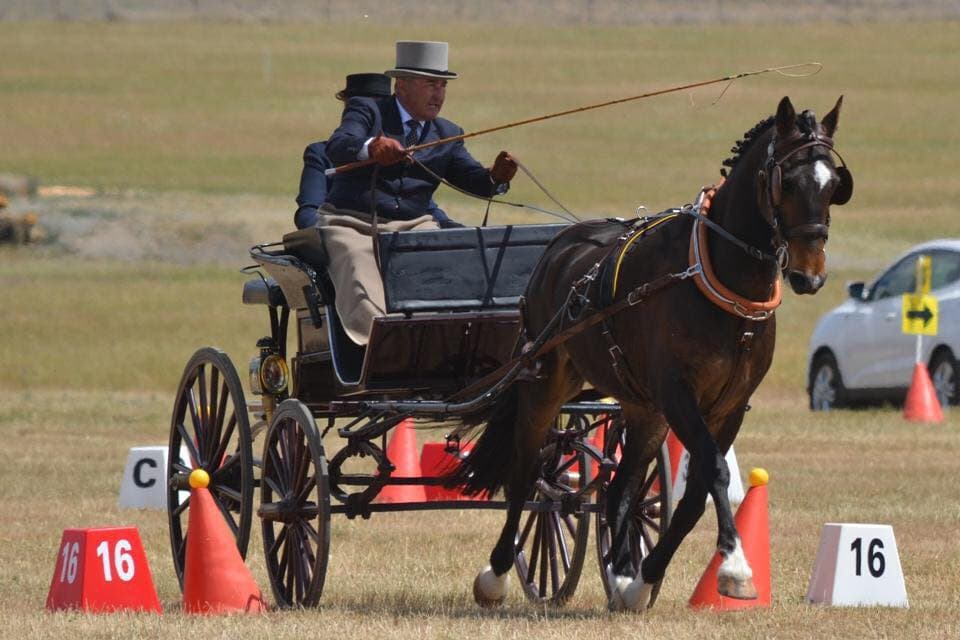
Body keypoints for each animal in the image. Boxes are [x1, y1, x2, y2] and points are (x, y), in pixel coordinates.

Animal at [449, 96, 853, 610]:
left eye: (834, 184)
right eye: (789, 181)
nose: (810, 274)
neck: (722, 283)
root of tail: (559, 247)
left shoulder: (730, 405)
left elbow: (696, 490)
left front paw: (643, 578)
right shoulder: (678, 393)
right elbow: (714, 472)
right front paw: (736, 568)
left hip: (643, 409)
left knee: (622, 489)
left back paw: (621, 572)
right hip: (546, 382)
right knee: (525, 472)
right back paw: (497, 573)